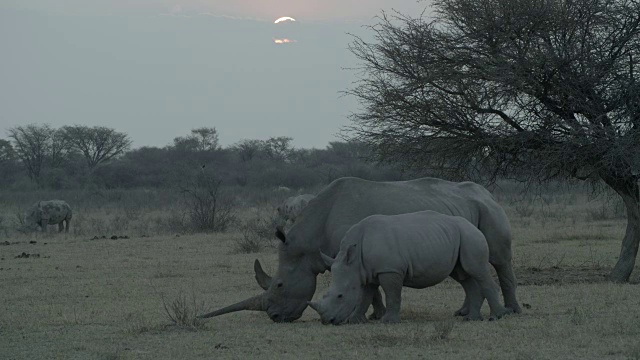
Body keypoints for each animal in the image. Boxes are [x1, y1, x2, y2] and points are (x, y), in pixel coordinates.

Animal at [308, 210, 512, 324]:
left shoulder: (390, 269)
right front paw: (355, 320)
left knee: (476, 270)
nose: (327, 321)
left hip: (471, 236)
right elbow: (365, 296)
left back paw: (497, 317)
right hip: (459, 237)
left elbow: (392, 295)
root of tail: (474, 226)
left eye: (340, 296)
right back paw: (471, 319)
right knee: (464, 276)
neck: (354, 260)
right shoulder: (367, 273)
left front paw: (388, 322)